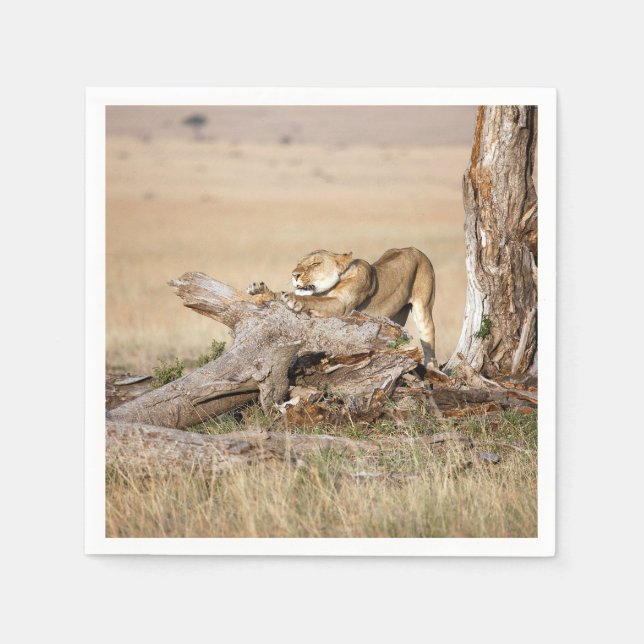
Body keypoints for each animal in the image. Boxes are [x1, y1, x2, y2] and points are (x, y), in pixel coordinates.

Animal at [247, 247, 436, 366]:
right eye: (299, 263)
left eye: (315, 264)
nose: (294, 274)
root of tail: (413, 248)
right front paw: (259, 290)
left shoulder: (342, 305)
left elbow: (313, 301)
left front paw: (293, 299)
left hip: (424, 310)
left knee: (429, 345)